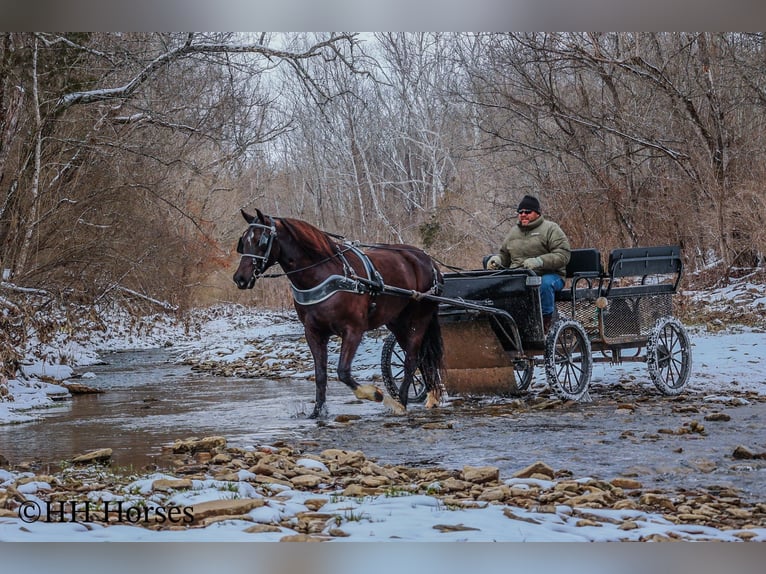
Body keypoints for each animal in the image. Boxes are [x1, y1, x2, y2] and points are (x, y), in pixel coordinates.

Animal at [233, 208, 444, 418]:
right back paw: (426, 397)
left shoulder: (353, 330)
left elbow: (343, 371)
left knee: (411, 361)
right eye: (243, 242)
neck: (323, 274)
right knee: (419, 358)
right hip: (398, 323)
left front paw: (374, 394)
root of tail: (428, 261)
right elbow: (320, 375)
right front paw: (317, 412)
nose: (240, 278)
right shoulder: (313, 332)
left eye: (261, 241)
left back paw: (401, 402)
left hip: (419, 320)